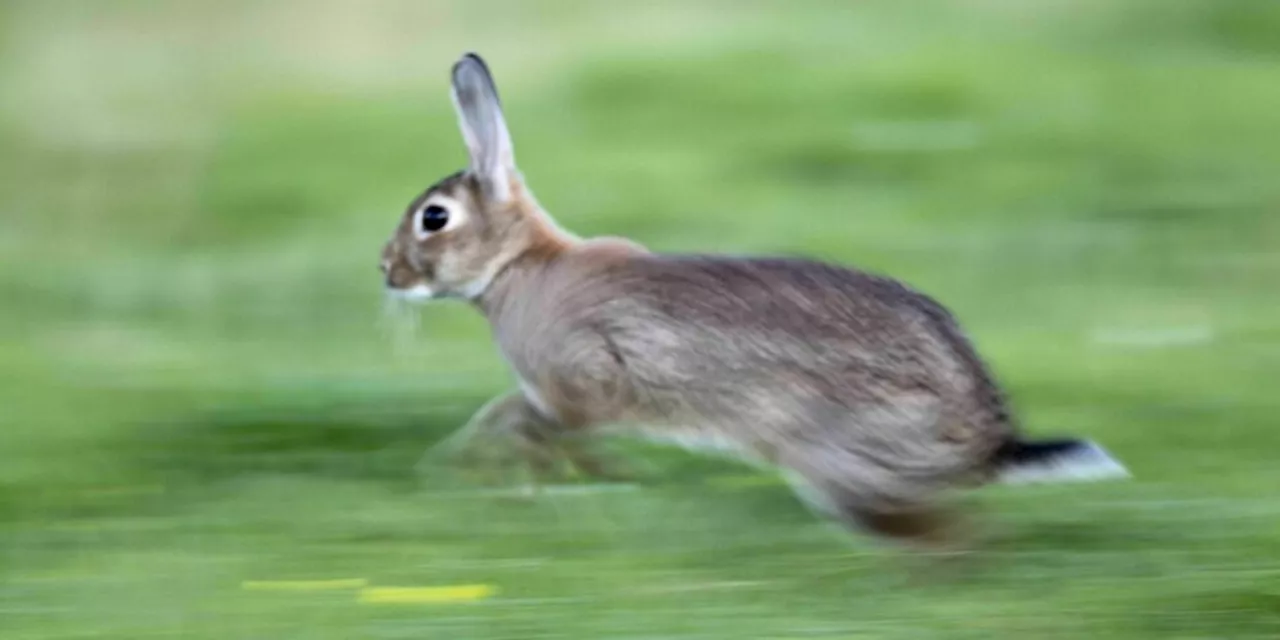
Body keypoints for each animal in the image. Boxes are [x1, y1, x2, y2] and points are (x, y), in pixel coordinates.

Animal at [378, 51, 1131, 550]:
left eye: (434, 218)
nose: (385, 270)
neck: (519, 266)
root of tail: (989, 446)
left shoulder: (583, 382)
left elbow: (522, 419)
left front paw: (475, 468)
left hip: (835, 462)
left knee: (950, 537)